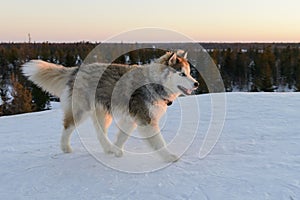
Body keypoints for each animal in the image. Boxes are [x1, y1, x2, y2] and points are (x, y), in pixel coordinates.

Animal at [22, 50, 198, 162]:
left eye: (189, 73)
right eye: (182, 74)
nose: (196, 84)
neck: (153, 83)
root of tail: (77, 69)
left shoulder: (131, 119)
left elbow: (121, 137)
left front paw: (116, 149)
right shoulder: (146, 120)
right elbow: (159, 142)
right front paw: (168, 157)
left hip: (103, 113)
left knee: (100, 133)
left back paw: (109, 149)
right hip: (81, 111)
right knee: (67, 126)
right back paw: (65, 148)